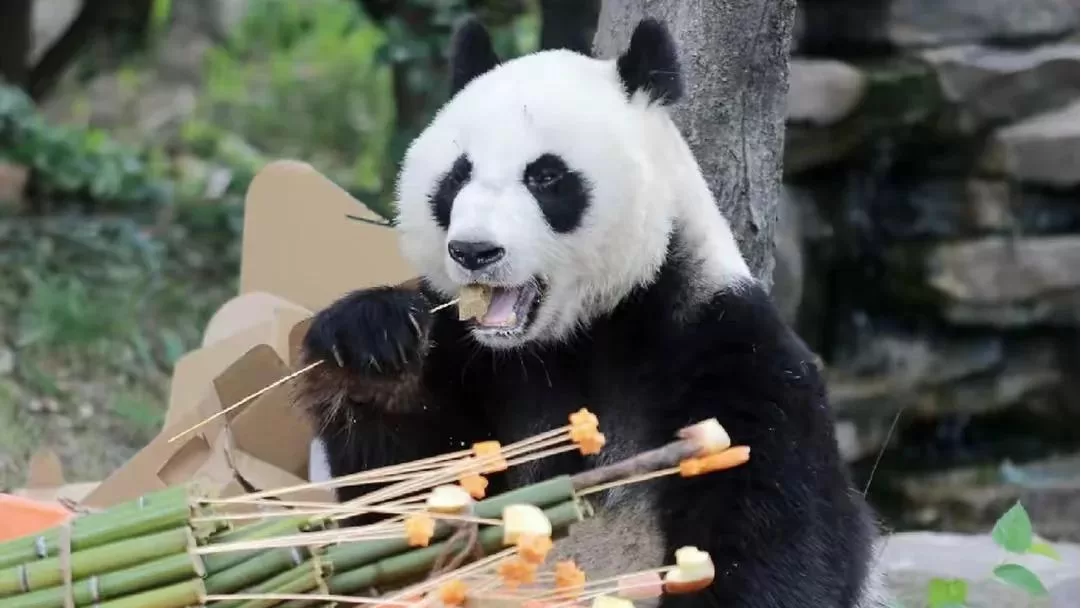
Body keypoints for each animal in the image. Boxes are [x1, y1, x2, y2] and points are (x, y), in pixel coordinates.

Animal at [295, 16, 886, 608]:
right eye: (457, 177)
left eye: (545, 177)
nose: (473, 251)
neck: (577, 334)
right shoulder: (469, 360)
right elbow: (399, 503)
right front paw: (373, 343)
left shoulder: (723, 341)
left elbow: (781, 526)